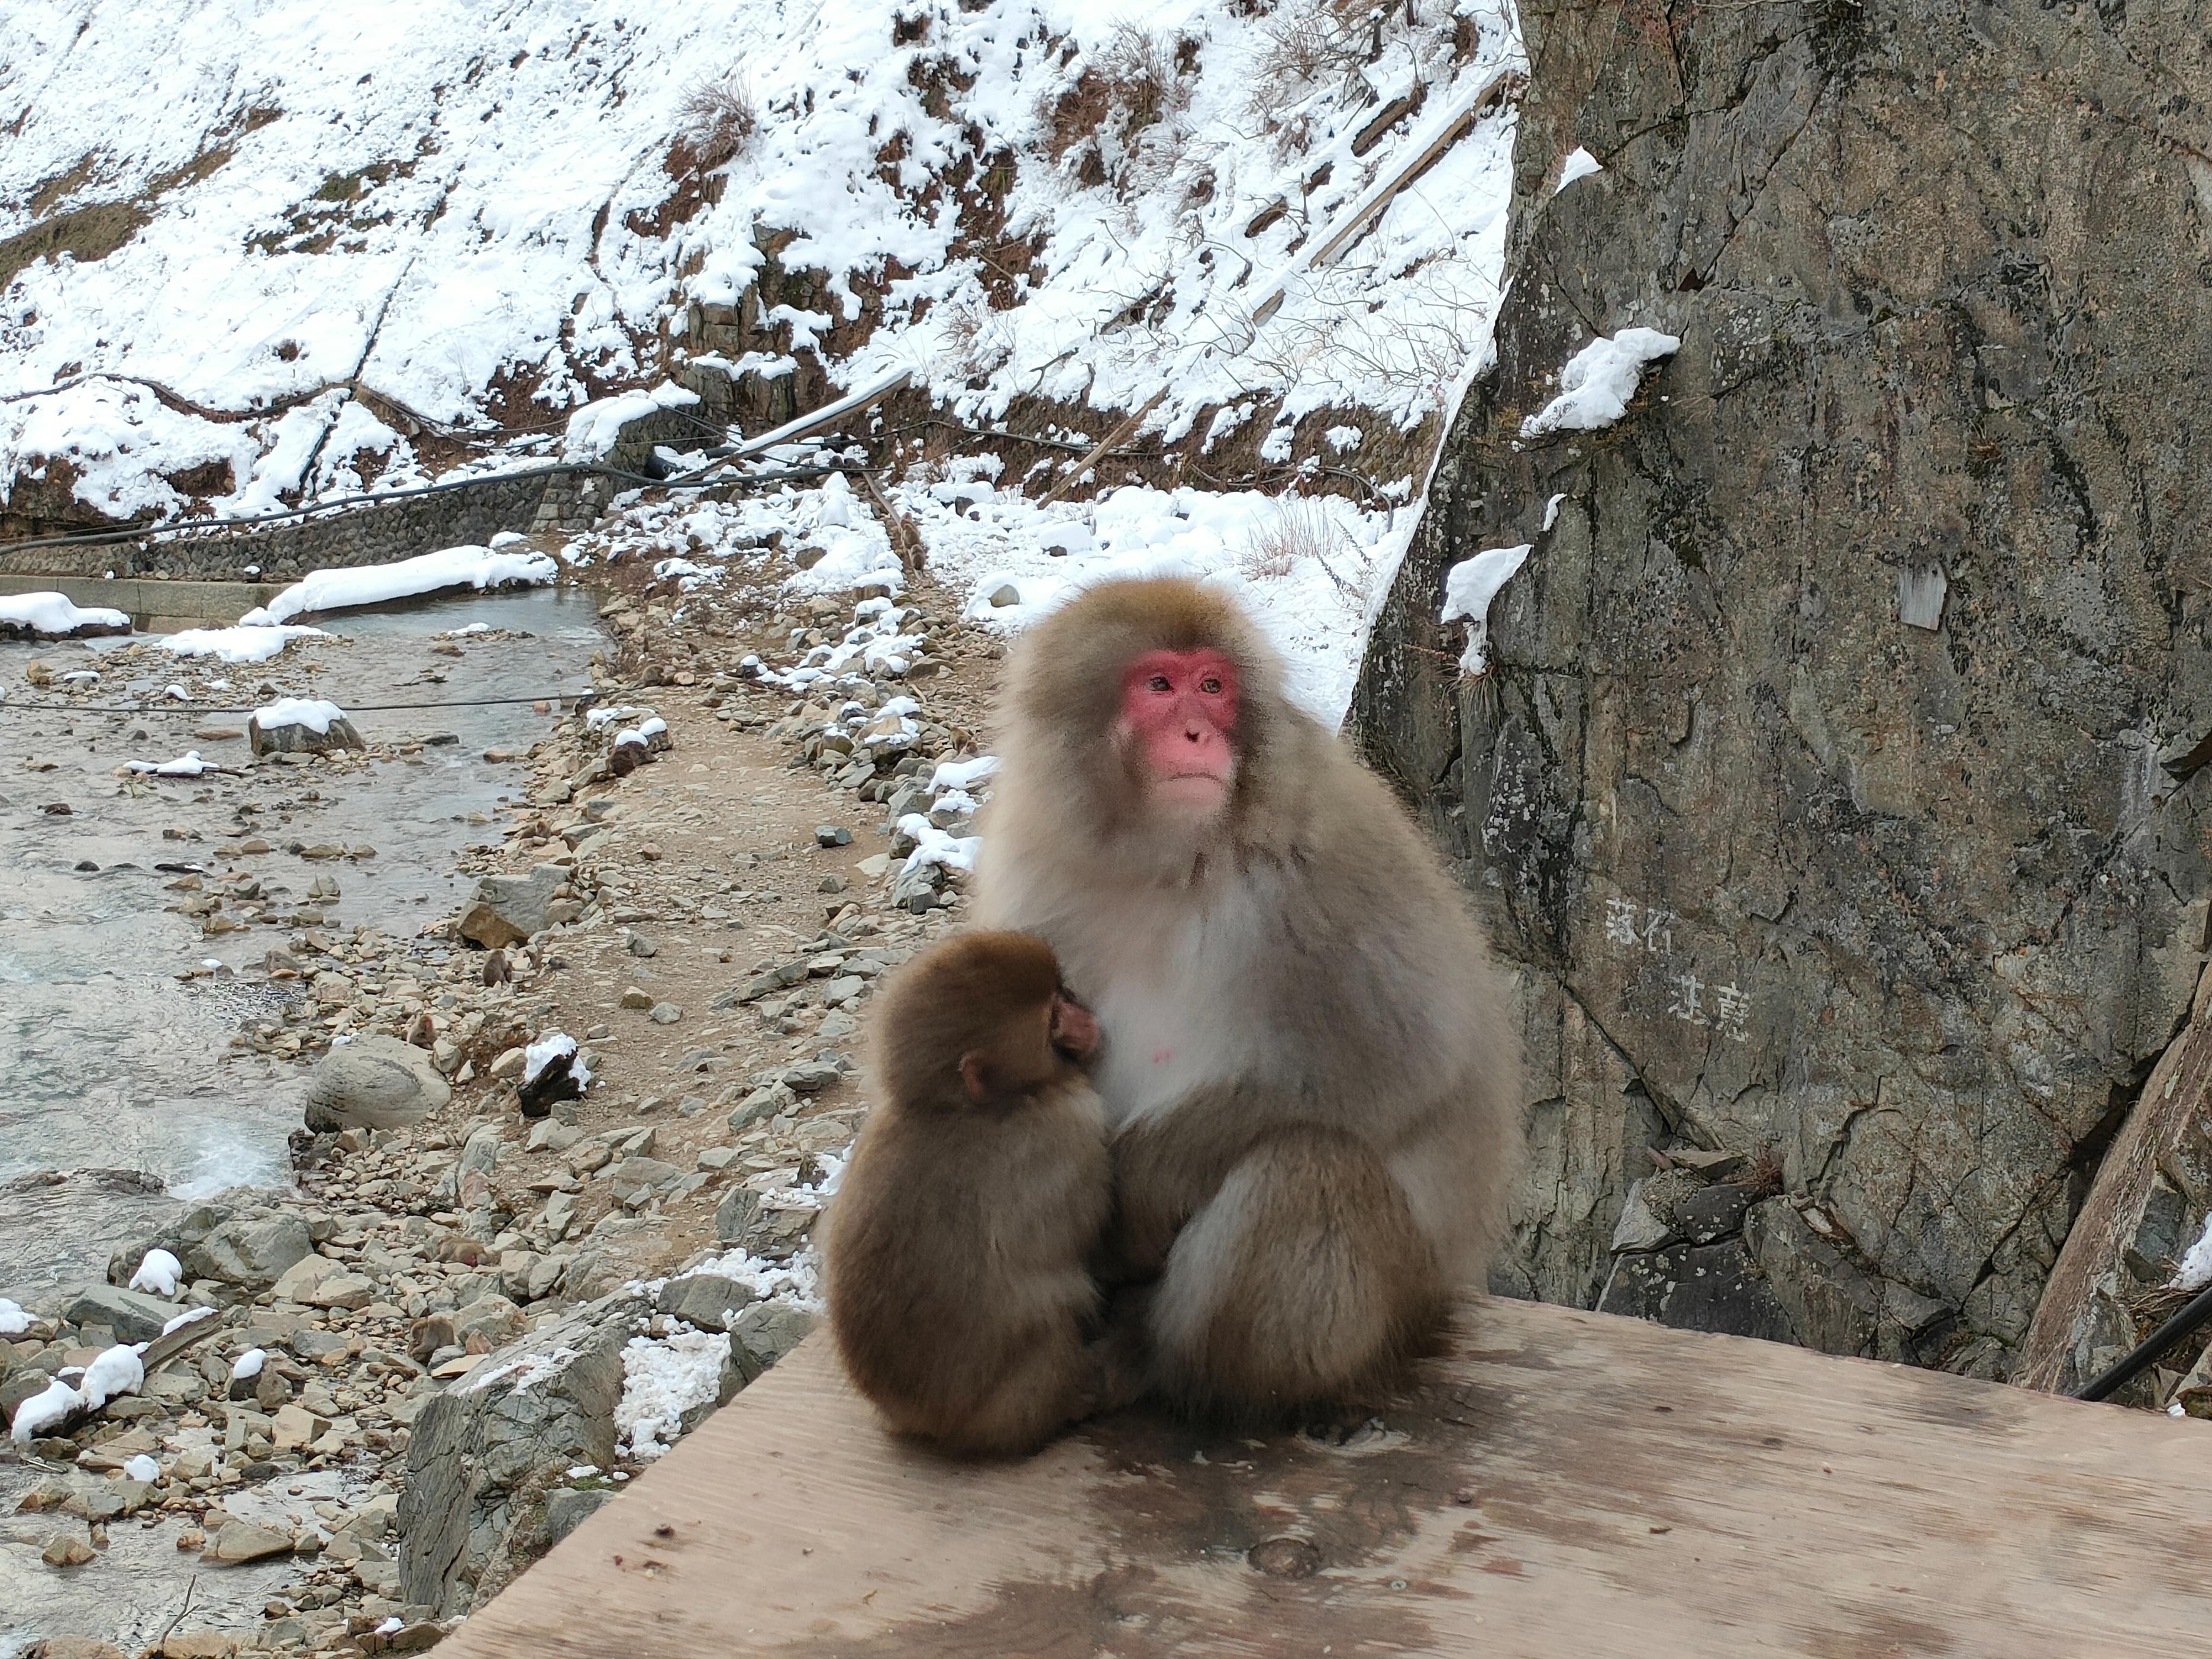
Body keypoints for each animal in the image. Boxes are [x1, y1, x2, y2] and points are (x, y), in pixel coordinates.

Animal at [827, 929, 1115, 1460]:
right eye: (1054, 1020)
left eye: (1062, 994)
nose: (1086, 1018)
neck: (953, 1109)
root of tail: (922, 1422)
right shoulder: (1071, 1127)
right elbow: (1074, 1236)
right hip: (1010, 1409)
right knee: (1051, 1333)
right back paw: (1072, 1402)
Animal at [977, 579, 1530, 1424]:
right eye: (1159, 685)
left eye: (1213, 685)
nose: (1200, 732)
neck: (1166, 860)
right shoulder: (1035, 883)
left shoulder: (1325, 868)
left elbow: (1402, 1060)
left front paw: (1138, 1192)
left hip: (1391, 1302)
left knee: (1307, 1165)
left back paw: (1170, 1368)